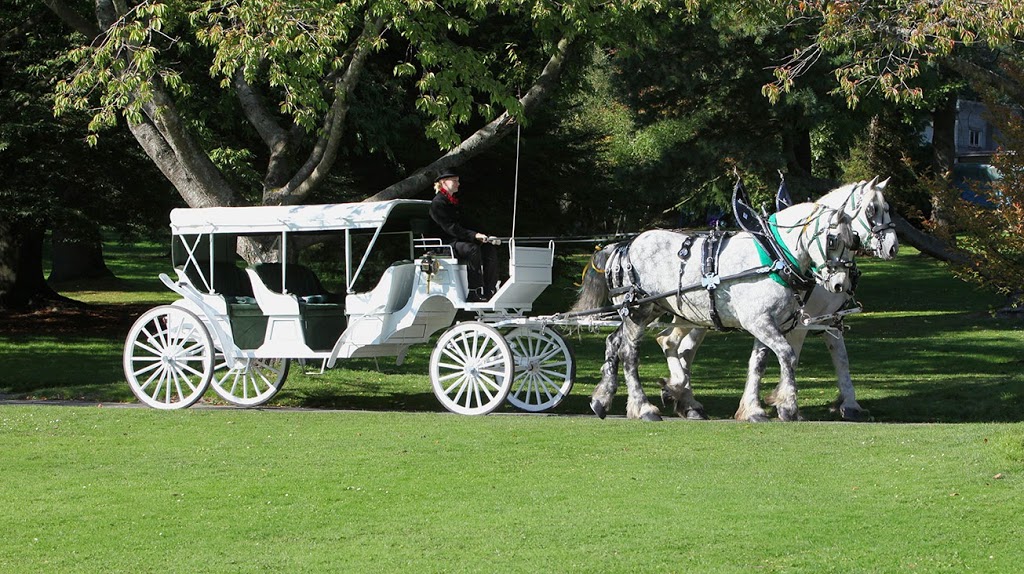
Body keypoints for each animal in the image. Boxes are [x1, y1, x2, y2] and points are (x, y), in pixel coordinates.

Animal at [573, 201, 860, 421]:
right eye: (832, 240)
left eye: (854, 241)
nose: (841, 284)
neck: (775, 256)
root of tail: (623, 246)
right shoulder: (760, 322)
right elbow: (787, 355)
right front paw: (788, 405)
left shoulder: (770, 324)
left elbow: (758, 364)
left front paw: (753, 409)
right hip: (638, 312)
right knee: (629, 353)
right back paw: (644, 407)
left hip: (648, 310)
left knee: (614, 342)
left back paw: (603, 399)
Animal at [655, 178, 897, 421]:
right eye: (871, 210)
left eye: (887, 208)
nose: (892, 247)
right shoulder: (797, 323)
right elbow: (789, 357)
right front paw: (782, 404)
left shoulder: (829, 321)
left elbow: (841, 360)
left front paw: (849, 403)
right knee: (683, 348)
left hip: (694, 316)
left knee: (679, 347)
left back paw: (685, 400)